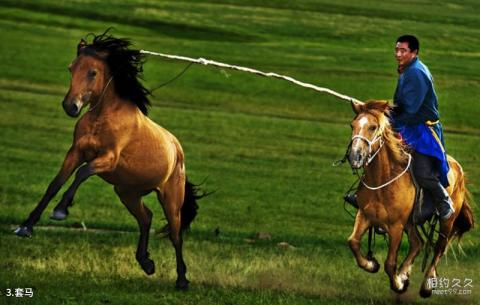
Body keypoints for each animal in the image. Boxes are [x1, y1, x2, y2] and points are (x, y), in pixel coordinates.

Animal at [14, 31, 202, 290]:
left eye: (92, 72)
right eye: (71, 68)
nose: (70, 106)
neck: (104, 118)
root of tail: (177, 149)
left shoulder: (108, 159)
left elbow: (82, 173)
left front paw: (61, 210)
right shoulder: (75, 153)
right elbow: (54, 184)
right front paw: (26, 226)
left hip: (170, 199)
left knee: (176, 235)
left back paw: (182, 280)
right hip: (127, 193)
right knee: (146, 218)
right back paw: (146, 263)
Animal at [344, 101, 472, 296]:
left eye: (373, 127)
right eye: (353, 125)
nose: (355, 156)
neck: (383, 179)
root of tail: (459, 168)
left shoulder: (396, 226)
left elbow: (390, 264)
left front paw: (397, 283)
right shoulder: (364, 216)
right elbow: (353, 242)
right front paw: (372, 265)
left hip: (447, 221)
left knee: (439, 248)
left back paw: (427, 284)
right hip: (410, 222)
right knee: (417, 243)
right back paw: (405, 273)